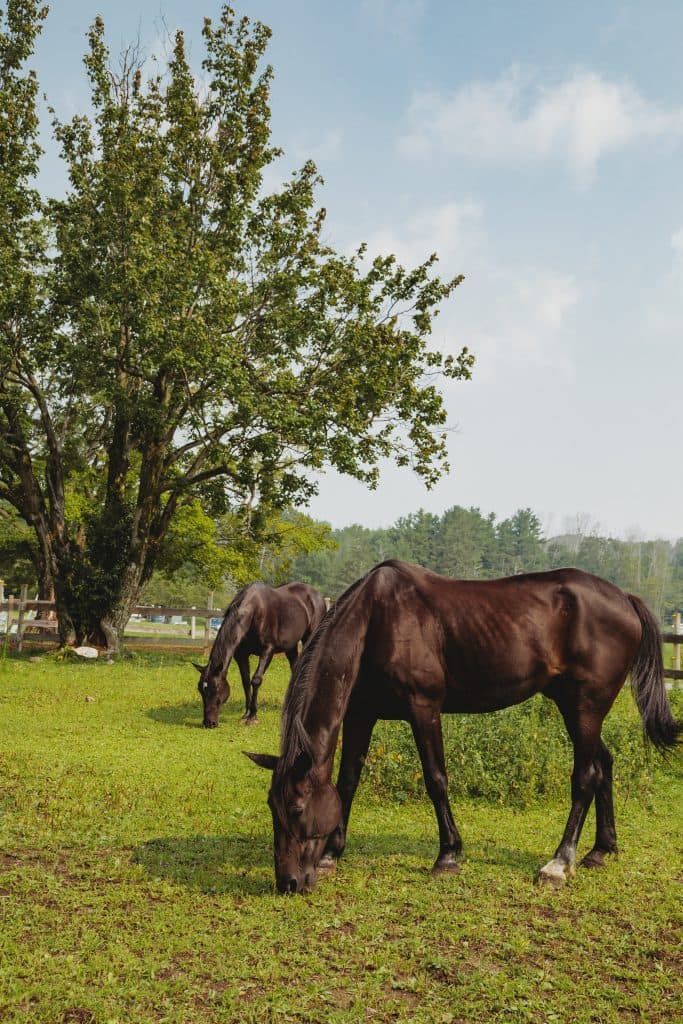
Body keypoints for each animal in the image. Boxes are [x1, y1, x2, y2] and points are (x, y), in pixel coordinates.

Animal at [194, 581, 326, 728]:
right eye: (200, 689)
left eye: (215, 688)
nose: (209, 723)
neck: (254, 612)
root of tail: (318, 596)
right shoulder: (241, 655)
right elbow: (246, 682)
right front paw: (246, 714)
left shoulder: (267, 651)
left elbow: (256, 680)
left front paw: (253, 716)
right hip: (291, 647)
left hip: (310, 638)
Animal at [246, 559, 681, 893]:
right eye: (270, 805)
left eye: (296, 807)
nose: (288, 882)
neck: (376, 620)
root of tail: (624, 598)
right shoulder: (360, 713)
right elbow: (347, 780)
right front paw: (332, 854)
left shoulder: (424, 708)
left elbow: (436, 779)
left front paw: (448, 855)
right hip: (574, 706)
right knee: (604, 764)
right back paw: (600, 850)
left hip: (585, 707)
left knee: (586, 776)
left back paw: (559, 862)